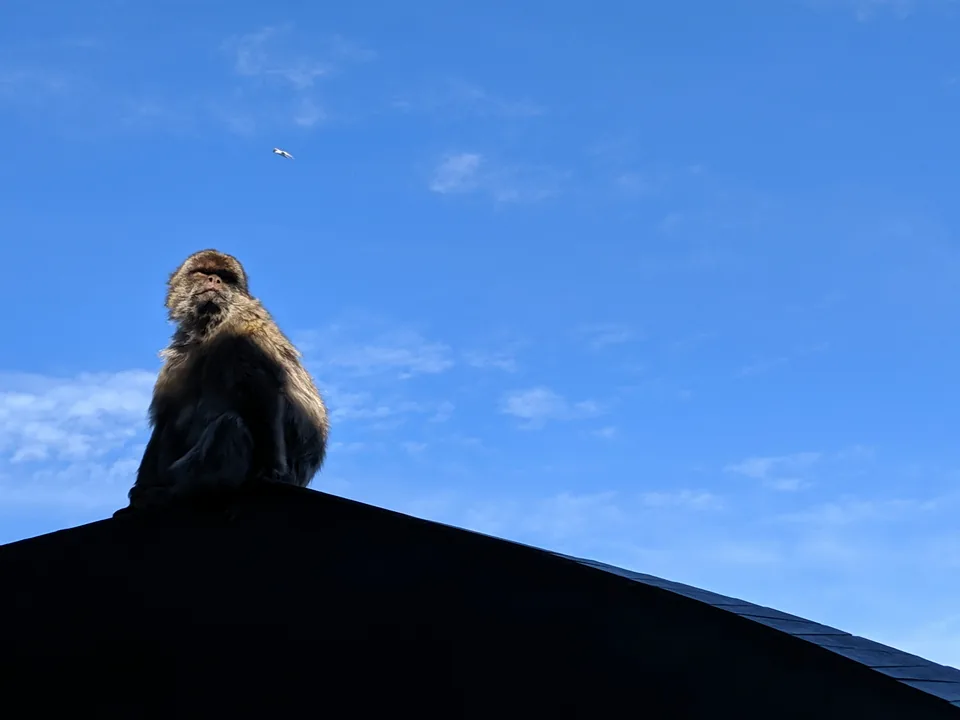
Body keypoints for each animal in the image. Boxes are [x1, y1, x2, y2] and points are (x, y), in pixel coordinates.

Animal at [119, 249, 329, 512]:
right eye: (203, 272)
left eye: (225, 277)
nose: (214, 280)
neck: (211, 326)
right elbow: (168, 414)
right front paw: (139, 489)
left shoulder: (246, 330)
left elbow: (263, 390)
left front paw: (269, 471)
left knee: (230, 425)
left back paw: (183, 491)